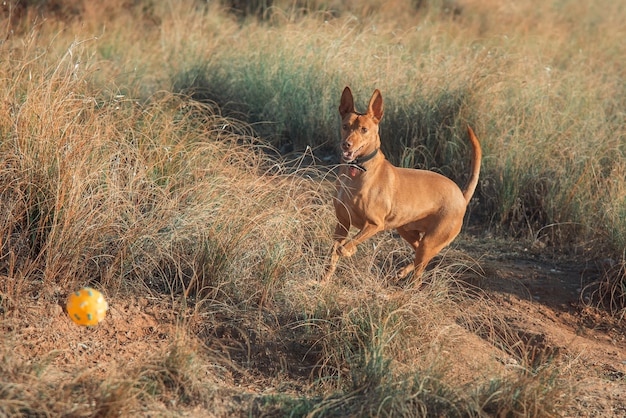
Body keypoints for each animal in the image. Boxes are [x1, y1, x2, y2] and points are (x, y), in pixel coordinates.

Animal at [320, 87, 480, 286]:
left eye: (364, 130)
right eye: (345, 126)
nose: (346, 144)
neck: (356, 170)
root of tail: (461, 195)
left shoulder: (374, 224)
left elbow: (343, 249)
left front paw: (350, 251)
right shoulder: (342, 223)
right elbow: (333, 255)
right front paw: (322, 281)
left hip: (431, 240)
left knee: (419, 276)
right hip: (407, 231)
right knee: (421, 256)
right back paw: (401, 273)